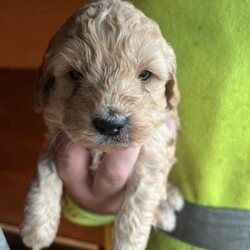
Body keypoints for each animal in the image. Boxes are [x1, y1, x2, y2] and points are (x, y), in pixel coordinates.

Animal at [20, 0, 184, 249]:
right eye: (74, 74)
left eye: (145, 75)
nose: (110, 124)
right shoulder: (55, 137)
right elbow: (43, 175)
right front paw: (36, 227)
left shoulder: (153, 151)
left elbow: (138, 203)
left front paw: (127, 244)